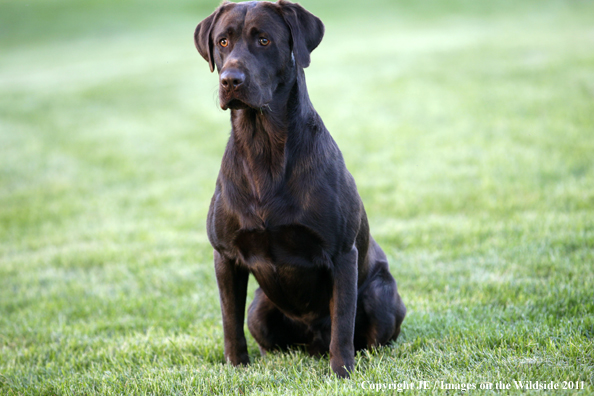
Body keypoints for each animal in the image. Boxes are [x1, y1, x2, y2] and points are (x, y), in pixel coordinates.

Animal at [192, 0, 404, 378]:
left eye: (263, 40)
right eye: (222, 42)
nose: (230, 80)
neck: (263, 148)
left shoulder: (342, 254)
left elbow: (342, 322)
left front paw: (342, 372)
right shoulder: (225, 256)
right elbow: (229, 321)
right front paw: (236, 366)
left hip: (380, 293)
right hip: (259, 309)